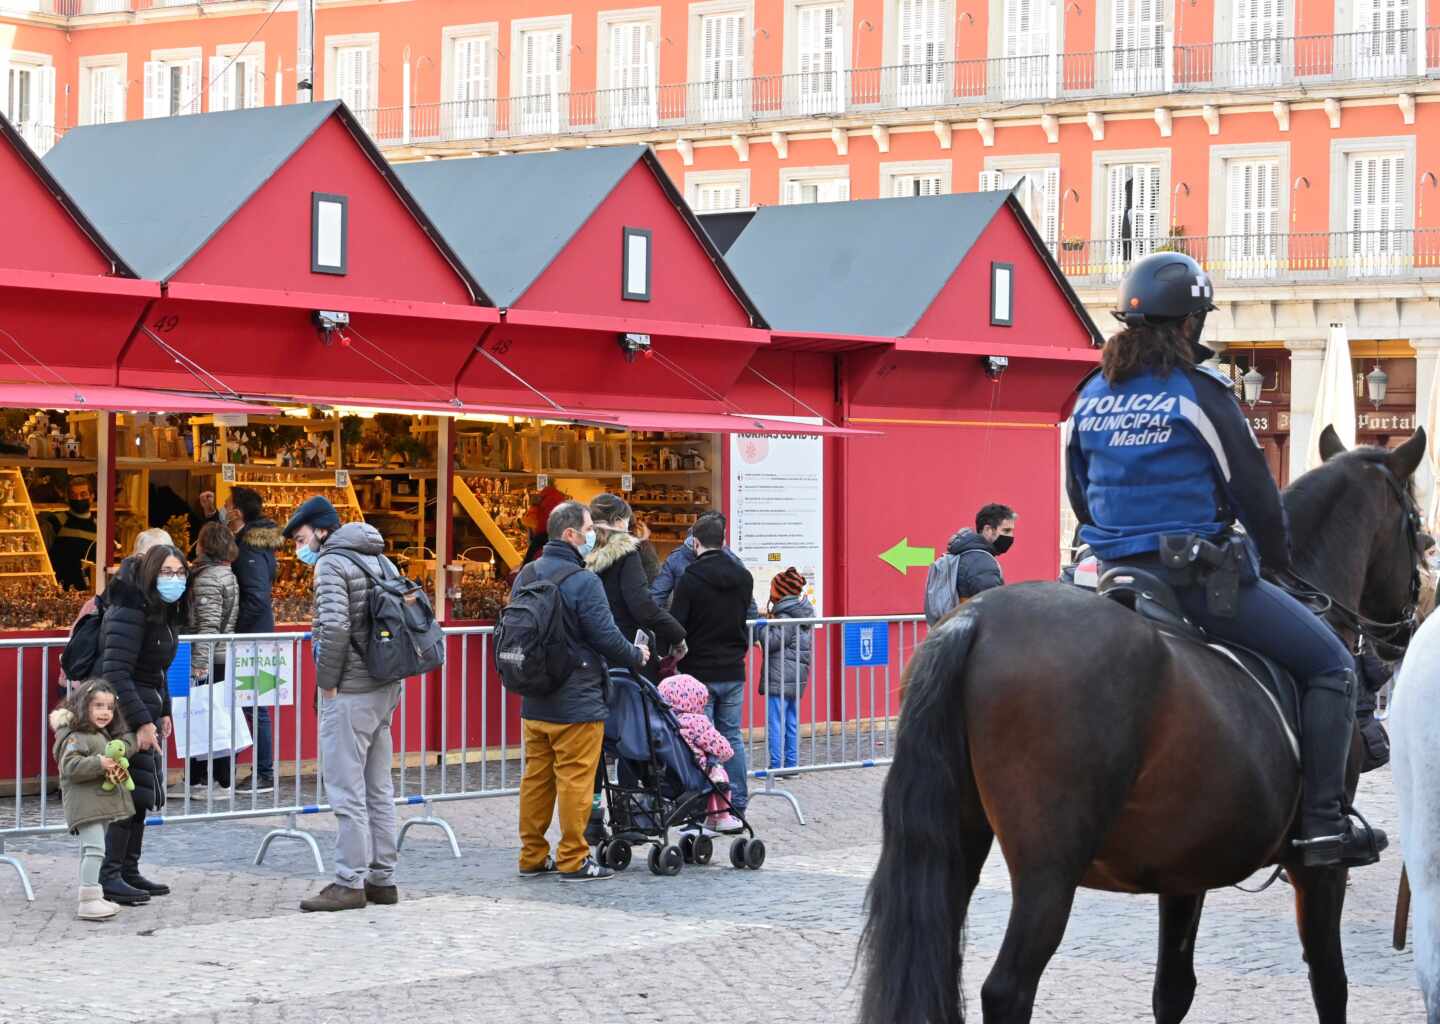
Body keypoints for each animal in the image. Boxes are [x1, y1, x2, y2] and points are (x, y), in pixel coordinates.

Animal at [858, 429, 1422, 1019]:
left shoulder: (1187, 861)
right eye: (1419, 526)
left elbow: (1173, 989)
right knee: (1007, 989)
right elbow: (1330, 981)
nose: (1407, 625)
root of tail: (974, 619)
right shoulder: (1320, 868)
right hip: (1048, 870)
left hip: (957, 846)